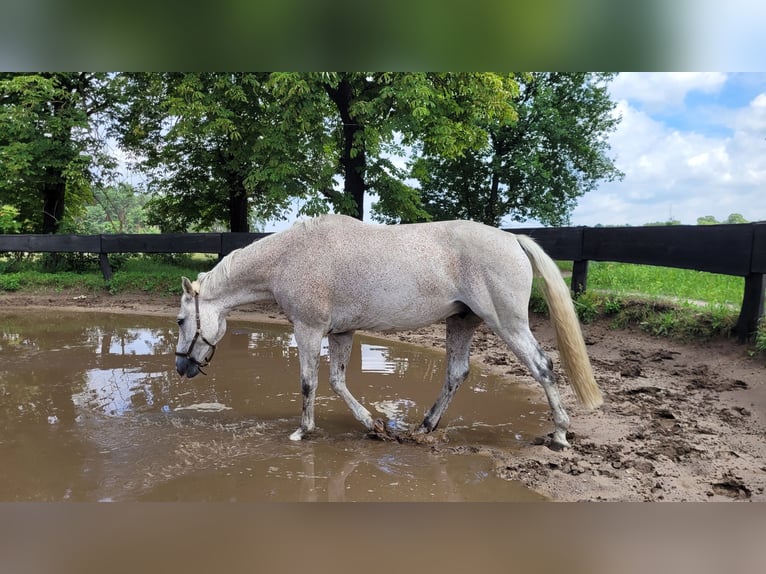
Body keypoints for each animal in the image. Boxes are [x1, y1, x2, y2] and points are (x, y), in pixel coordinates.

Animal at [177, 215, 604, 450]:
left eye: (180, 321)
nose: (181, 367)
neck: (291, 256)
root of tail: (513, 238)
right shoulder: (341, 333)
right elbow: (337, 382)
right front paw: (374, 426)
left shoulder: (309, 329)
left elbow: (309, 383)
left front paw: (303, 431)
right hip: (462, 322)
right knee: (457, 373)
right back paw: (425, 427)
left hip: (507, 323)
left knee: (542, 367)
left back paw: (559, 434)